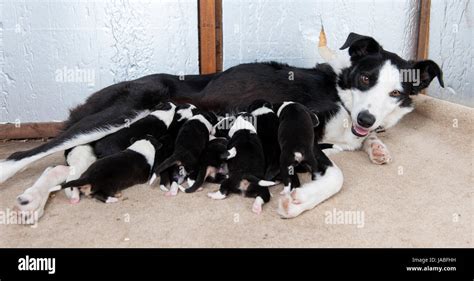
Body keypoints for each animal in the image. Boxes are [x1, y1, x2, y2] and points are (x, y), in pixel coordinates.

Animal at [0, 32, 444, 217]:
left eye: (396, 93)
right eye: (366, 78)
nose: (368, 118)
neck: (341, 94)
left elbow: (361, 143)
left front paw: (378, 146)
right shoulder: (301, 131)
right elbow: (335, 177)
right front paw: (297, 202)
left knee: (65, 166)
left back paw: (33, 201)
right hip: (119, 112)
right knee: (29, 155)